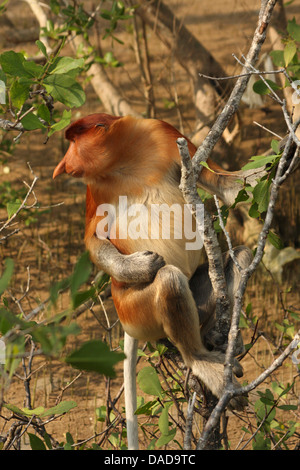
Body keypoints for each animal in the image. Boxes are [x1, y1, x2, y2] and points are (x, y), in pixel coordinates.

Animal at [53, 114, 253, 440]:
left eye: (73, 141)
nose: (63, 164)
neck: (123, 159)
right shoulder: (95, 189)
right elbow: (93, 238)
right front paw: (140, 266)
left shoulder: (163, 133)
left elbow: (219, 181)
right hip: (136, 314)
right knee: (169, 279)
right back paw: (201, 360)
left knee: (243, 255)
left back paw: (216, 338)